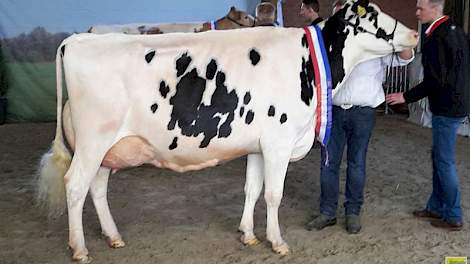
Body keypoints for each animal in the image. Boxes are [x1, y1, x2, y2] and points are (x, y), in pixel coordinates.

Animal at [37, 1, 414, 262]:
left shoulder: (258, 145)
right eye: (372, 15)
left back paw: (113, 236)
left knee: (97, 189)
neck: (308, 61)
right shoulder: (278, 141)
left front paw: (248, 235)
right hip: (92, 142)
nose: (413, 34)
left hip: (109, 148)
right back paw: (80, 249)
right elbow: (273, 194)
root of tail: (76, 41)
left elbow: (251, 189)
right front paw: (277, 241)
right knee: (75, 186)